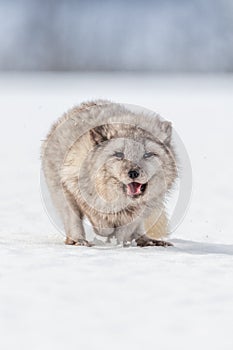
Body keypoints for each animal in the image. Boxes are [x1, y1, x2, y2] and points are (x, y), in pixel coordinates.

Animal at [41, 100, 177, 247]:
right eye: (119, 154)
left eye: (147, 154)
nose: (133, 173)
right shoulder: (73, 183)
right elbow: (100, 221)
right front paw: (106, 232)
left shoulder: (143, 208)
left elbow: (126, 229)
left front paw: (120, 240)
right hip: (63, 196)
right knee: (73, 222)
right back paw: (79, 241)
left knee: (138, 231)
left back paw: (147, 241)